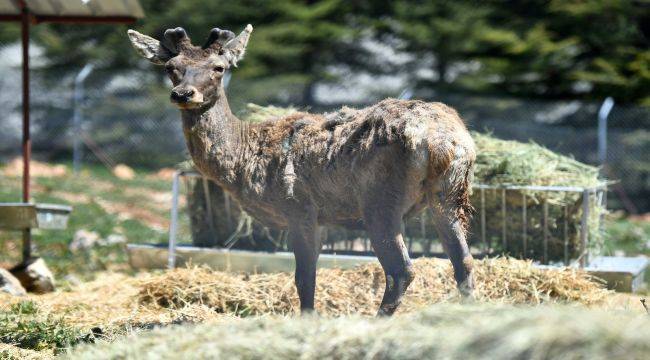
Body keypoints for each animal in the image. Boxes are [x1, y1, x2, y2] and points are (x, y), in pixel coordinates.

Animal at [128, 23, 476, 316]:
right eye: (171, 68)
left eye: (219, 67)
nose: (183, 94)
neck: (243, 159)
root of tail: (443, 141)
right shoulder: (320, 218)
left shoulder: (298, 208)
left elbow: (304, 279)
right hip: (450, 195)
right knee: (464, 262)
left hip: (381, 200)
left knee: (401, 270)